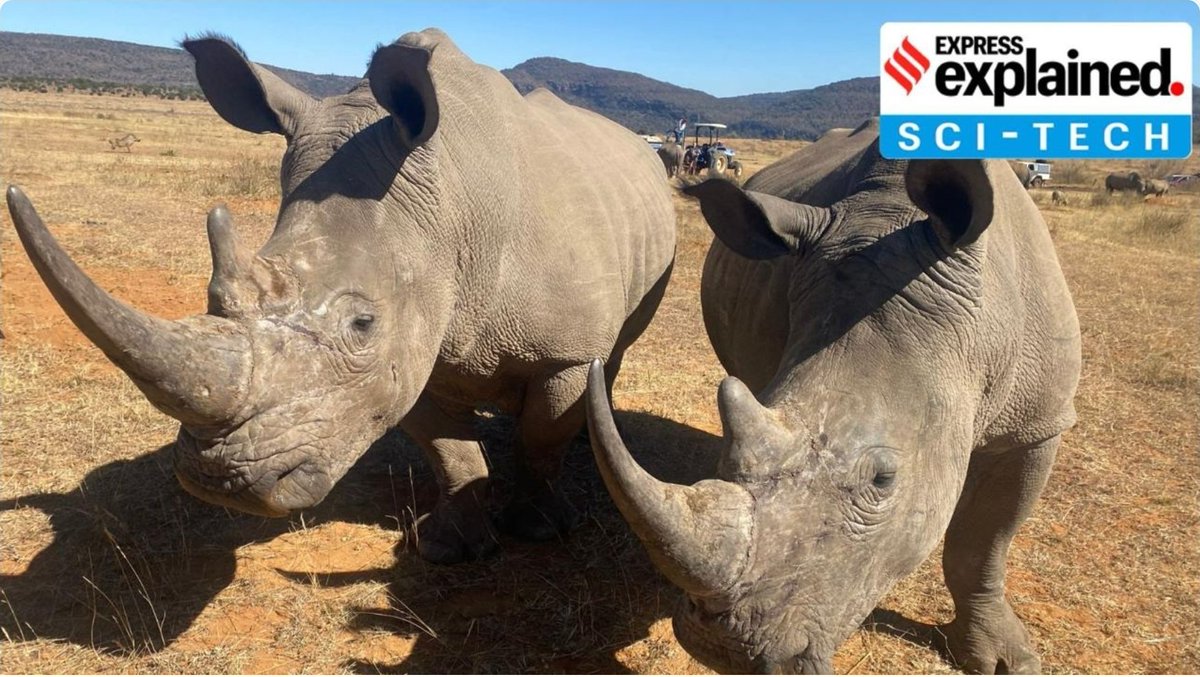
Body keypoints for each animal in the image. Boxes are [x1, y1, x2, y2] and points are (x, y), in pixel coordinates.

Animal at [7, 28, 676, 564]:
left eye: (361, 323)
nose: (221, 480)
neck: (448, 213)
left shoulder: (561, 352)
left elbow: (542, 439)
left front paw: (537, 529)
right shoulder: (417, 343)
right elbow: (450, 451)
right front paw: (449, 547)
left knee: (612, 352)